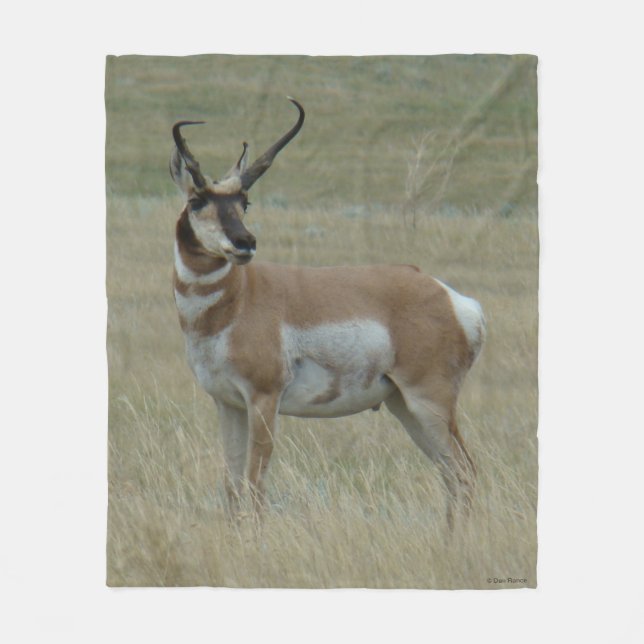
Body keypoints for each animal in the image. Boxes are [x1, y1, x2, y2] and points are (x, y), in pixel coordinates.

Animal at [170, 97, 485, 525]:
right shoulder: (228, 403)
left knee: (465, 472)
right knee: (451, 474)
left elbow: (255, 487)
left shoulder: (264, 400)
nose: (245, 242)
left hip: (429, 402)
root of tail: (453, 299)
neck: (237, 300)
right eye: (197, 200)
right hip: (404, 406)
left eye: (243, 202)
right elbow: (232, 488)